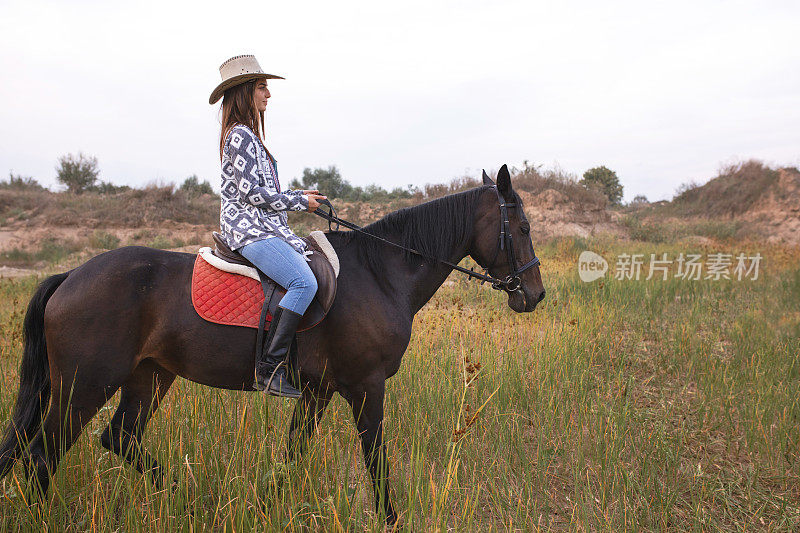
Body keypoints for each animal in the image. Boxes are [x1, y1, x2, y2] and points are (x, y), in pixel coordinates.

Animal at [0, 166, 544, 524]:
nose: (534, 294)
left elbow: (293, 455)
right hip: (84, 386)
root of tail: (72, 275)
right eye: (521, 227)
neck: (379, 274)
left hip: (149, 375)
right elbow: (375, 457)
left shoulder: (318, 391)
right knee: (42, 456)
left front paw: (264, 508)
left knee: (119, 438)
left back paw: (187, 499)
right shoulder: (365, 386)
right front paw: (391, 519)